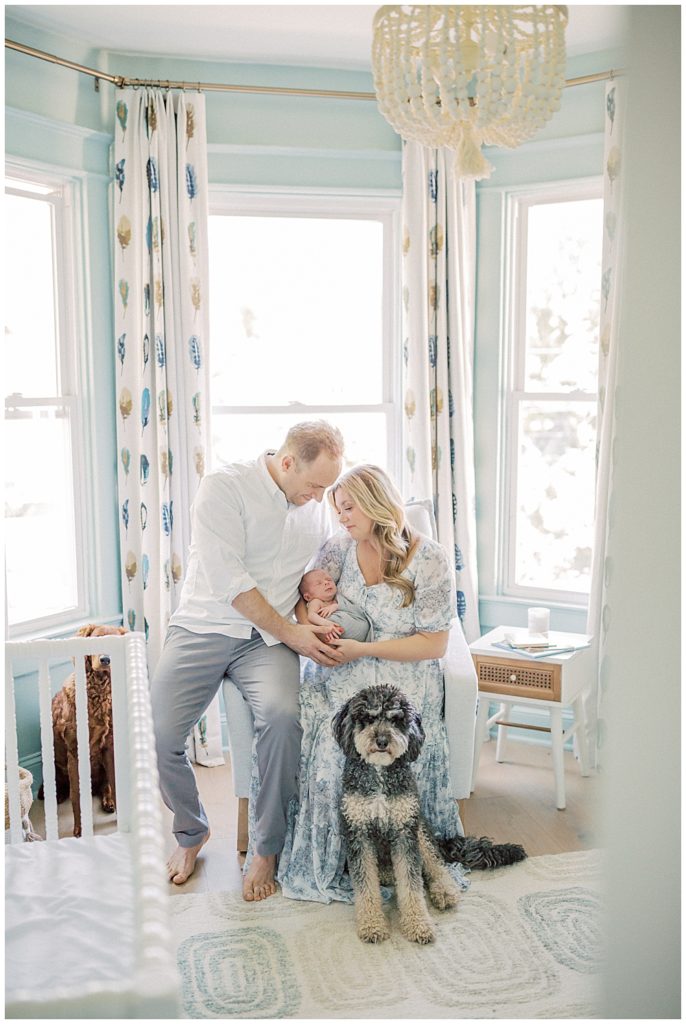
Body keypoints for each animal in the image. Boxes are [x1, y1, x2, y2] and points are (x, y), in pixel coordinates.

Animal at [39, 622, 126, 831]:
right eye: (95, 640)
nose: (105, 659)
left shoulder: (109, 747)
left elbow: (114, 784)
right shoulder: (74, 751)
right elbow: (76, 797)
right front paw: (79, 830)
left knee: (105, 786)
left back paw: (108, 801)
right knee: (62, 787)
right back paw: (57, 795)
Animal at [333, 684, 528, 946]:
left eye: (397, 720)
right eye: (368, 718)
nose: (382, 741)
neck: (380, 773)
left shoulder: (405, 832)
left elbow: (412, 884)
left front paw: (418, 924)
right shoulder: (358, 835)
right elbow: (366, 886)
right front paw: (372, 924)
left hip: (421, 833)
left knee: (437, 865)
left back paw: (444, 891)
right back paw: (386, 875)